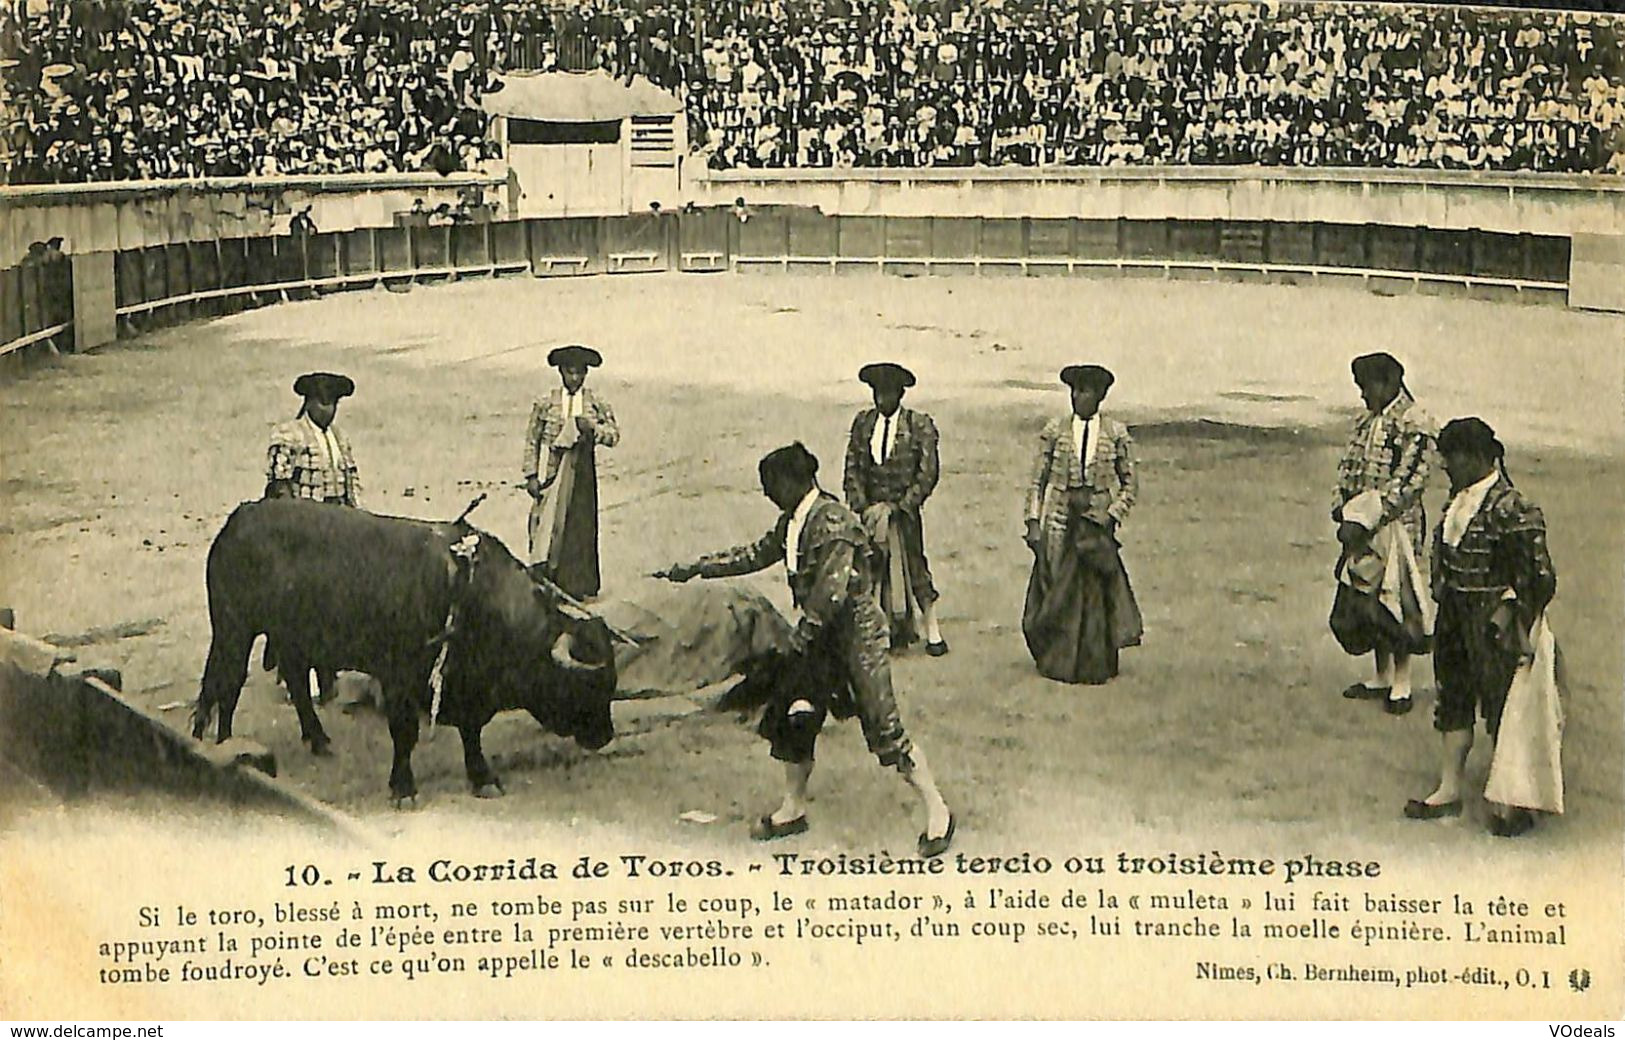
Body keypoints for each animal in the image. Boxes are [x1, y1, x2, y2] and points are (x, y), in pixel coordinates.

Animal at [191, 500, 620, 799]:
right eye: (588, 686)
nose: (605, 735)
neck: (468, 592)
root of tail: (239, 518)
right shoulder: (398, 677)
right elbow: (405, 733)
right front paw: (403, 787)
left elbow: (472, 734)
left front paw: (482, 777)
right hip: (233, 629)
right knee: (226, 684)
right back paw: (224, 745)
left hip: (290, 637)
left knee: (293, 682)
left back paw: (319, 740)